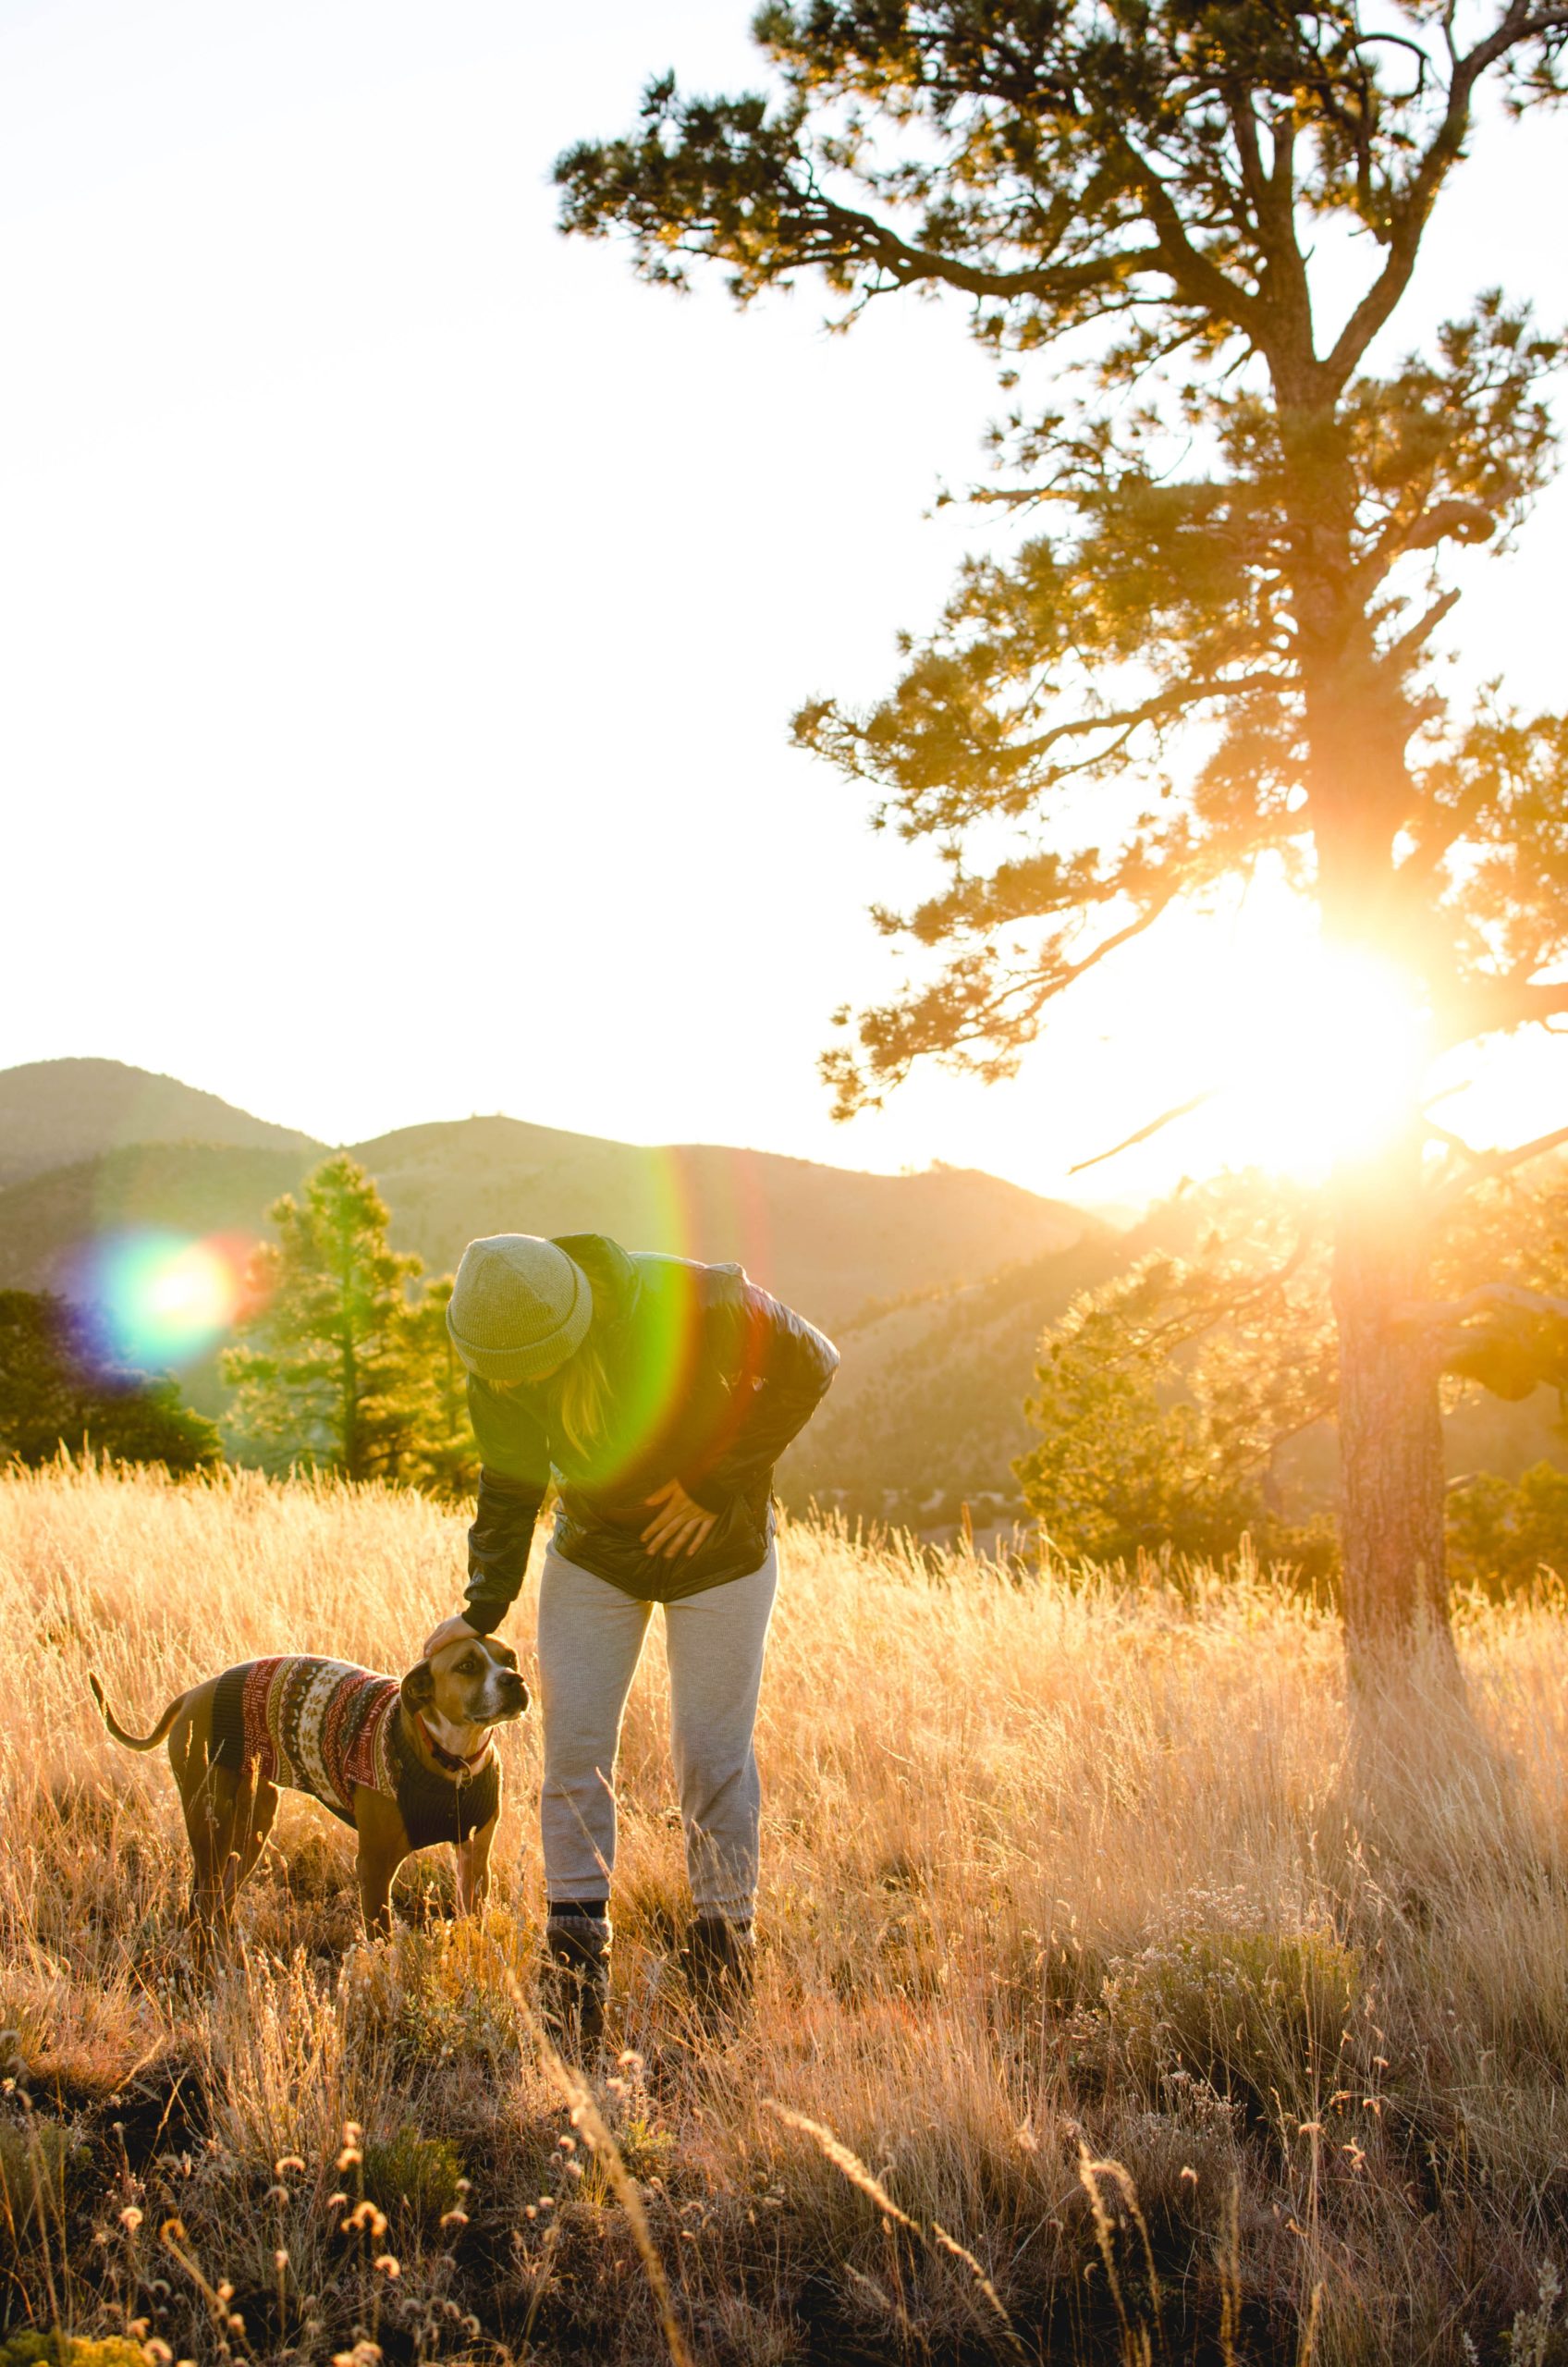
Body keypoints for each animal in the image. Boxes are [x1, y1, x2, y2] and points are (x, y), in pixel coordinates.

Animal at [93, 1637, 534, 1931]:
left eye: (509, 1658)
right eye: (467, 1666)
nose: (514, 1679)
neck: (452, 1758)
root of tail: (191, 1694)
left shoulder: (475, 1859)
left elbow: (473, 1924)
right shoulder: (374, 1867)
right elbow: (382, 1940)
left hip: (251, 1826)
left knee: (221, 1899)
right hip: (210, 1825)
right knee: (203, 1901)